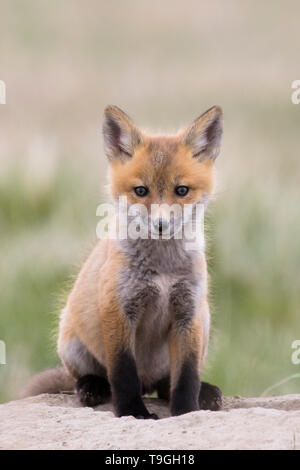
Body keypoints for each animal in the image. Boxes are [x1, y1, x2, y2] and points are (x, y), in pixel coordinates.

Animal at [22, 104, 224, 416]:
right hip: (71, 341)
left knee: (166, 385)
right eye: (141, 191)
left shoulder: (188, 313)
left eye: (182, 190)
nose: (161, 225)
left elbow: (188, 376)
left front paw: (186, 411)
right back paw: (92, 387)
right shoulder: (118, 309)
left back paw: (200, 391)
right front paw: (134, 412)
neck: (162, 271)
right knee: (89, 377)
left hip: (204, 322)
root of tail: (149, 382)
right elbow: (123, 373)